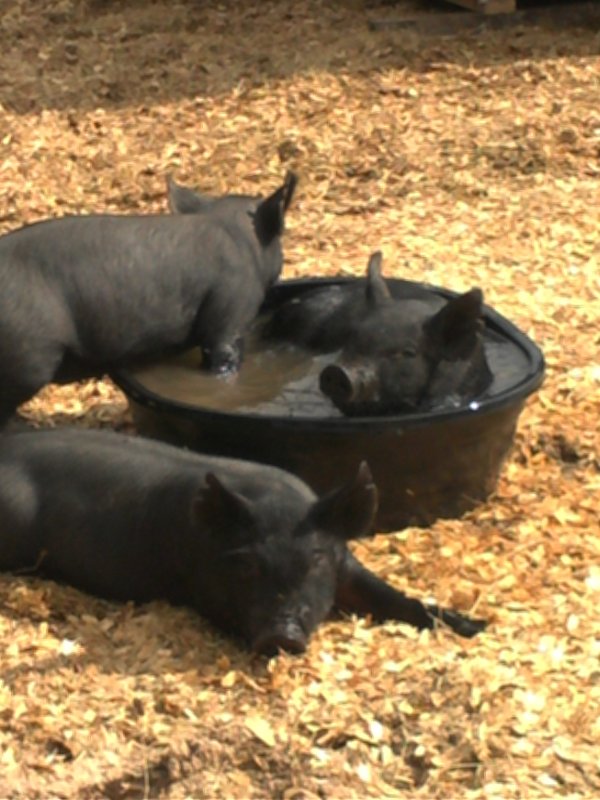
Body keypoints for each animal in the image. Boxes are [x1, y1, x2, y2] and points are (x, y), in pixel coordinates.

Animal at [0, 428, 486, 652]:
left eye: (316, 560)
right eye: (248, 564)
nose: (283, 633)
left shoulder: (346, 566)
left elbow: (393, 597)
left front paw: (476, 626)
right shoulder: (201, 586)